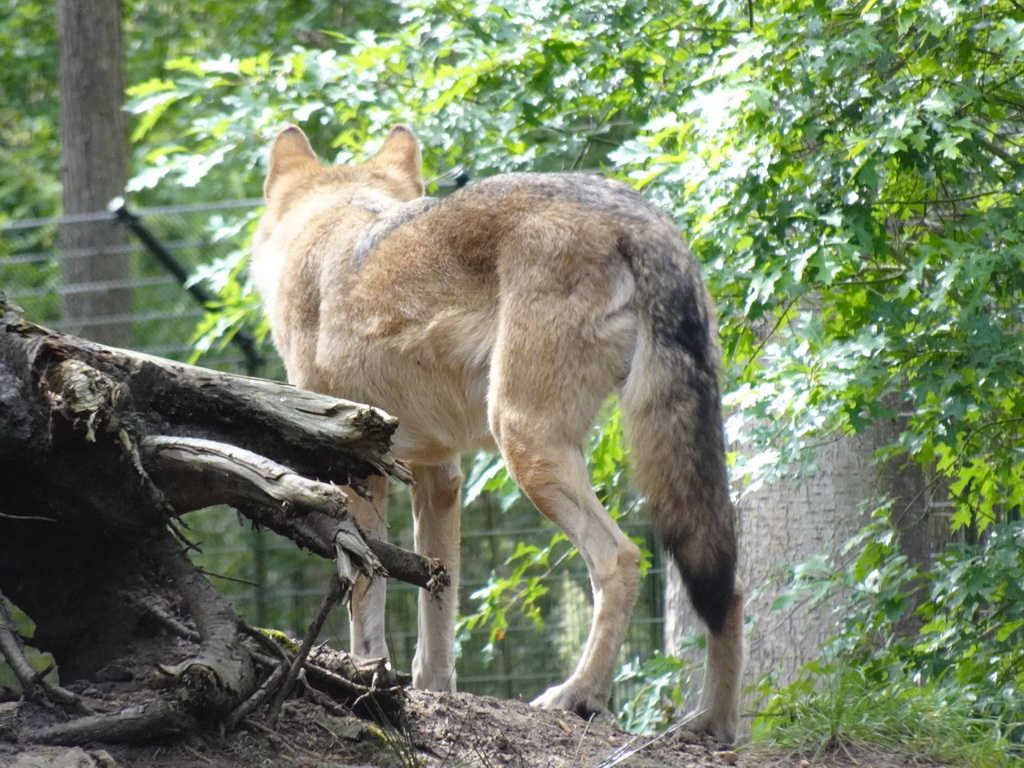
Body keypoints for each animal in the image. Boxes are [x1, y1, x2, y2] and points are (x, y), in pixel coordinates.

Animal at [247, 126, 745, 745]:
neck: (331, 221)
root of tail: (639, 217)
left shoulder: (359, 472)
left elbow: (366, 593)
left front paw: (366, 674)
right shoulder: (440, 474)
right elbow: (438, 599)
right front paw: (433, 691)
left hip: (523, 442)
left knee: (622, 559)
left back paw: (577, 696)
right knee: (727, 582)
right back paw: (712, 724)